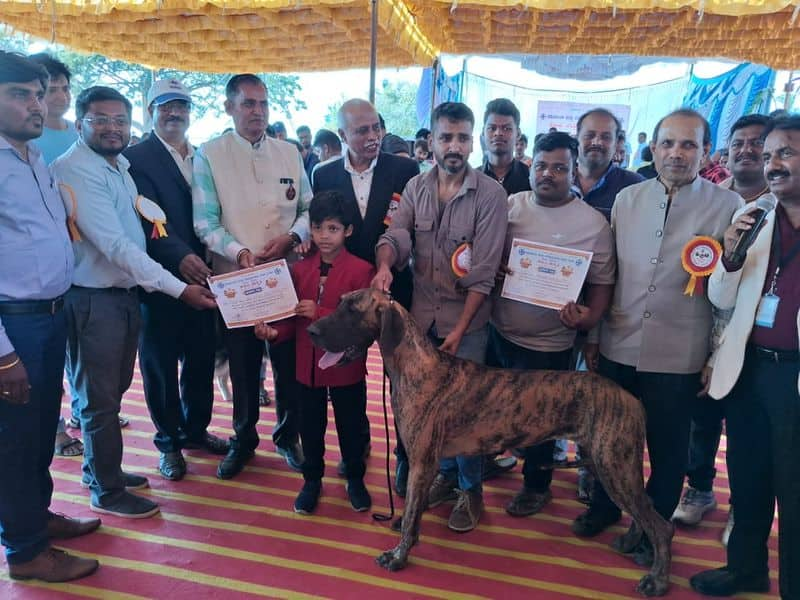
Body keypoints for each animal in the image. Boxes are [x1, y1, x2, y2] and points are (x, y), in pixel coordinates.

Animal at [310, 290, 672, 596]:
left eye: (352, 310)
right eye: (341, 303)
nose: (311, 330)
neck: (415, 366)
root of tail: (633, 400)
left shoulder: (421, 463)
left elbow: (412, 513)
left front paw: (399, 555)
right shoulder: (426, 465)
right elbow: (416, 510)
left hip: (614, 466)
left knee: (661, 526)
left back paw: (657, 580)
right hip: (605, 463)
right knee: (645, 511)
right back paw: (631, 541)